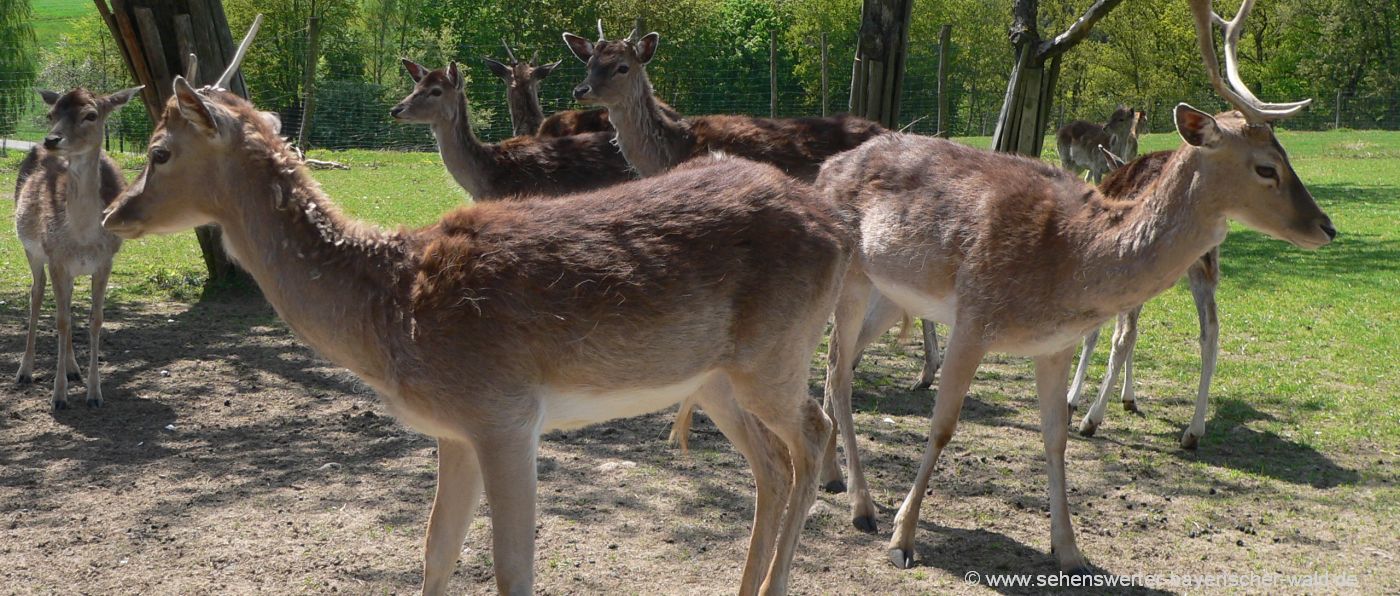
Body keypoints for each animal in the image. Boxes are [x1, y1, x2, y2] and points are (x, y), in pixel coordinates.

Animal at [11, 84, 142, 408]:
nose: (51, 139)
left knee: (67, 304)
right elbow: (60, 321)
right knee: (36, 294)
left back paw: (73, 369)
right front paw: (58, 397)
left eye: (90, 115)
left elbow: (94, 320)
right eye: (51, 113)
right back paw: (25, 371)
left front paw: (95, 394)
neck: (82, 237)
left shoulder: (106, 260)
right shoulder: (56, 258)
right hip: (32, 251)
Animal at [812, 0, 1332, 570]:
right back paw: (863, 507)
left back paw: (832, 478)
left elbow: (1056, 438)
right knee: (836, 369)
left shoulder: (1054, 344)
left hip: (889, 295)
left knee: (841, 366)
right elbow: (942, 426)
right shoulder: (974, 316)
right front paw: (903, 540)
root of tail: (825, 168)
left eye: (1288, 157)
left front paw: (1069, 551)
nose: (1326, 227)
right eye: (1266, 168)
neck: (1067, 261)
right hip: (850, 277)